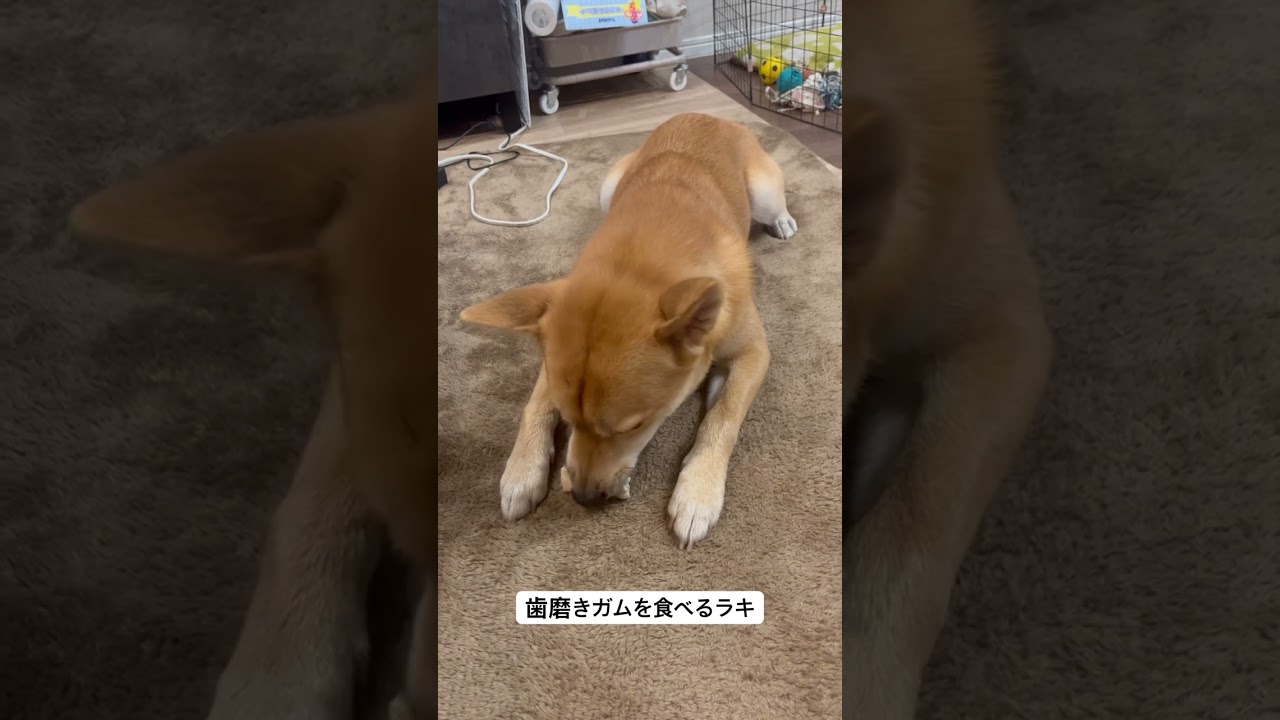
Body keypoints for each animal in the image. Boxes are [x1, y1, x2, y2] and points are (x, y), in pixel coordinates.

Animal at [458, 113, 798, 549]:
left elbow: (723, 416)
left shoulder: (754, 351)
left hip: (764, 191)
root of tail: (709, 116)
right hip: (608, 185)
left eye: (634, 427)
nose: (584, 498)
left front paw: (697, 492)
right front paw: (522, 470)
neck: (639, 262)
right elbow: (535, 404)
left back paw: (784, 222)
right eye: (568, 419)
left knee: (776, 207)